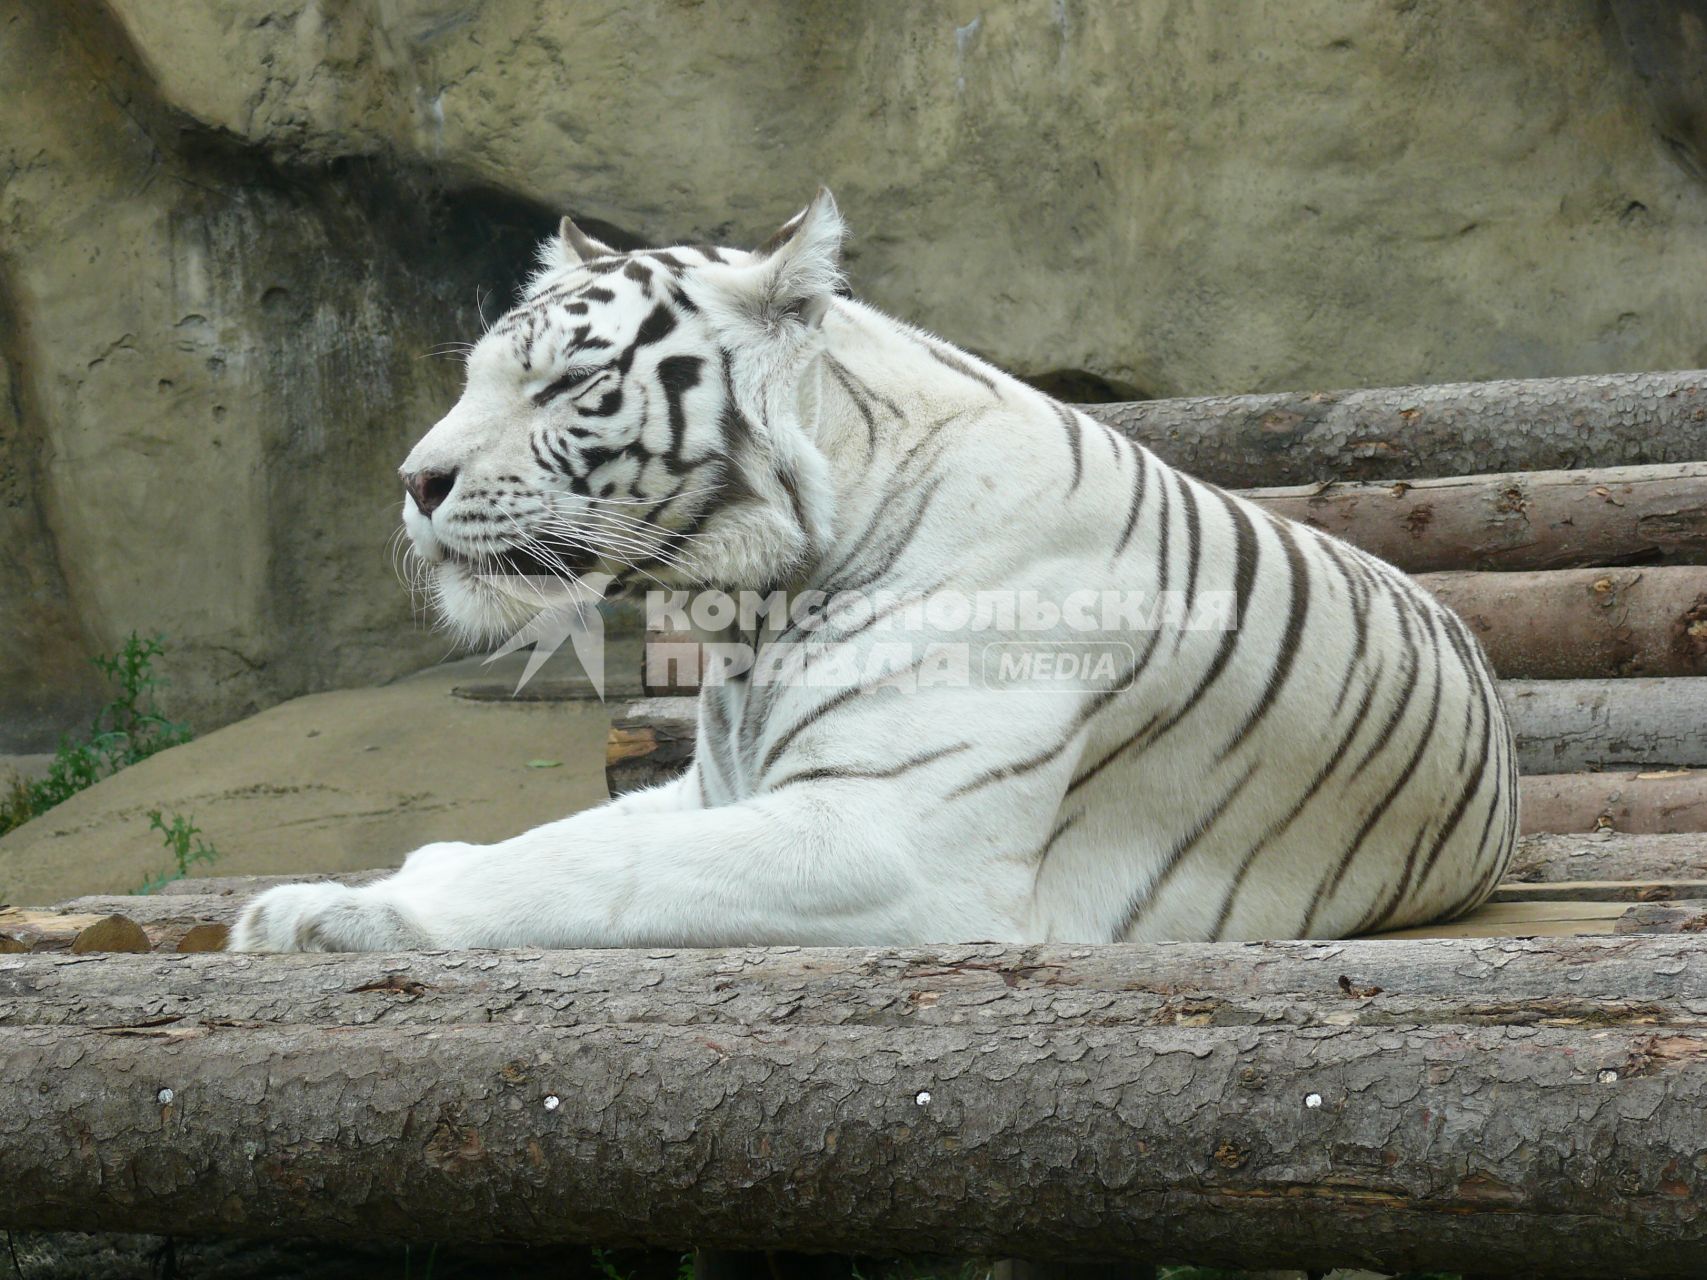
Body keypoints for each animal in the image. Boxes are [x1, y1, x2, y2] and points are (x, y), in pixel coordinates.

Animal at [230, 190, 1522, 955]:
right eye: (479, 376)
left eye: (566, 383)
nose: (415, 479)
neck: (748, 607)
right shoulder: (719, 787)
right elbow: (558, 833)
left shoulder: (889, 835)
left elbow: (589, 860)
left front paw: (326, 910)